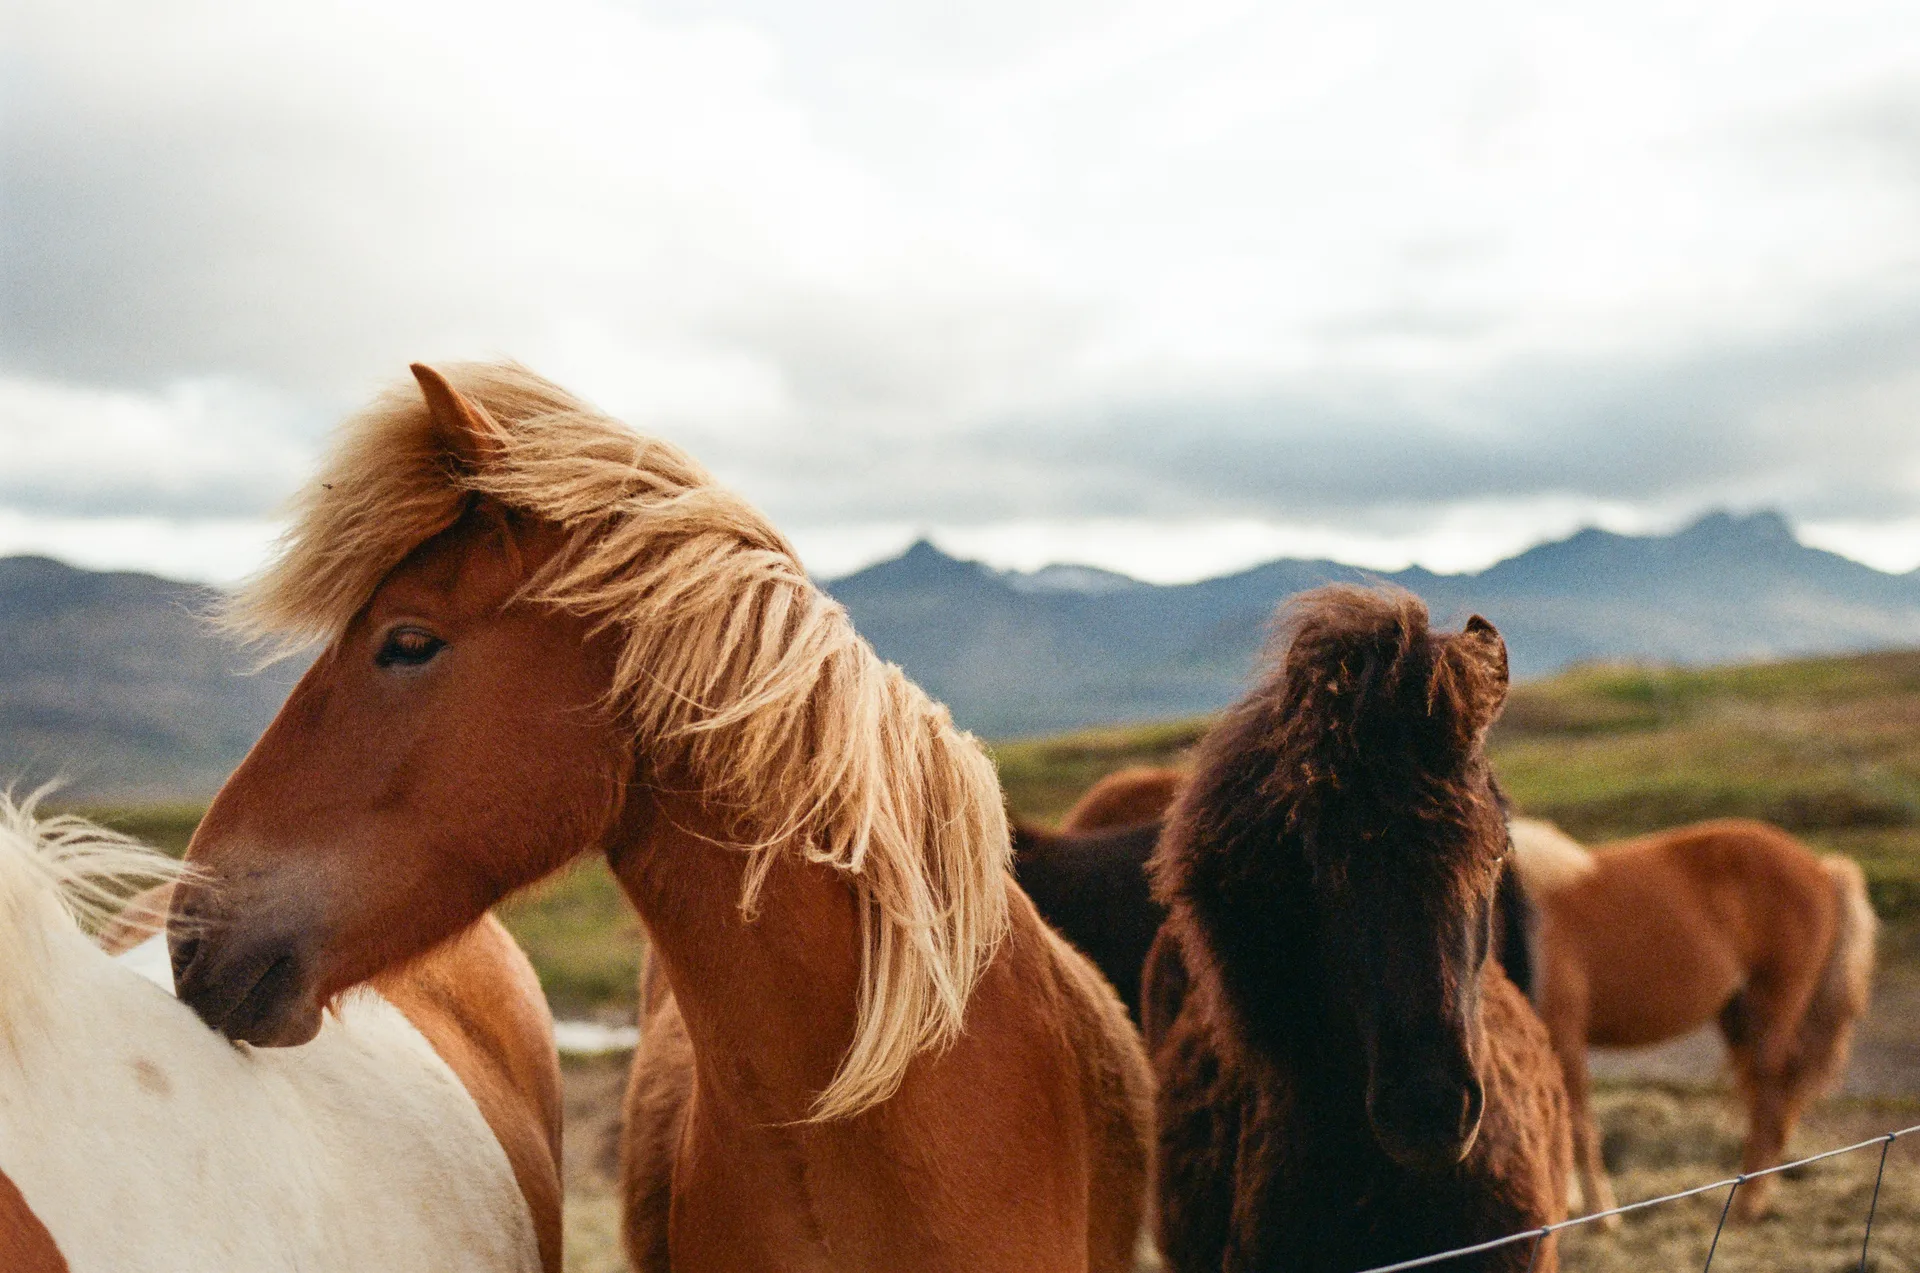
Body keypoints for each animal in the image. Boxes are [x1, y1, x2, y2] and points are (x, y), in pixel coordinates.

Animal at [1511, 815, 1877, 1223]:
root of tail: (1822, 870)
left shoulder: (1564, 1033)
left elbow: (1577, 1123)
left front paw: (1602, 1217)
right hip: (1738, 1017)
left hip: (1773, 1010)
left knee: (1771, 1098)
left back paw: (1746, 1205)